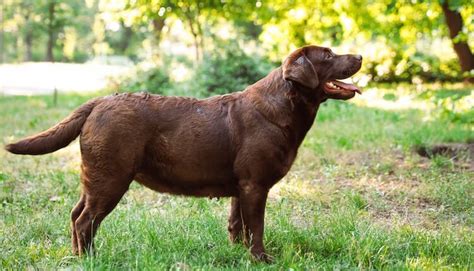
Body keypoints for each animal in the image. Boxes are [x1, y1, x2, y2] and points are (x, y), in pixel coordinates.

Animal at [4, 45, 362, 262]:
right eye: (328, 55)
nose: (359, 55)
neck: (282, 106)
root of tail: (99, 102)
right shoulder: (255, 186)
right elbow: (256, 227)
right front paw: (261, 259)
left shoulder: (241, 187)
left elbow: (237, 224)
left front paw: (237, 255)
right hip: (111, 179)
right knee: (84, 221)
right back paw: (90, 259)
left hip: (95, 177)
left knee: (75, 214)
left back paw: (78, 255)